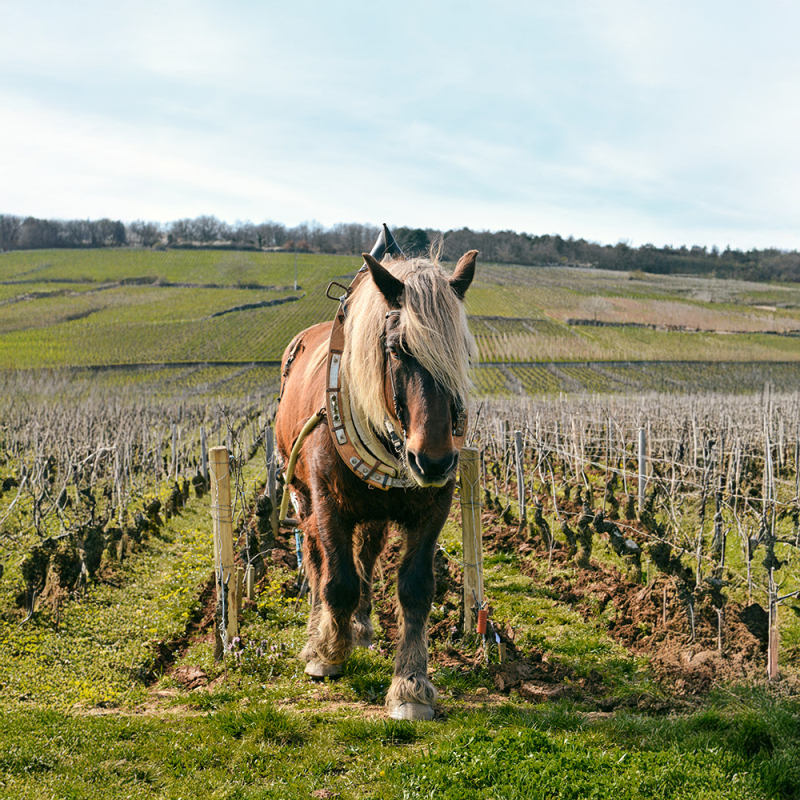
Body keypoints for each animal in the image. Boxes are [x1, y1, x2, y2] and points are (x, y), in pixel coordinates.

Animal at [274, 239, 478, 720]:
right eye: (398, 348)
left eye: (459, 352)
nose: (434, 461)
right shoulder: (327, 503)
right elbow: (337, 580)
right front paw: (327, 652)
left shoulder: (434, 507)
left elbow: (415, 588)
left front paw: (411, 685)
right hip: (302, 497)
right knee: (317, 561)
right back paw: (321, 629)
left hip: (378, 510)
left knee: (367, 554)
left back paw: (362, 625)